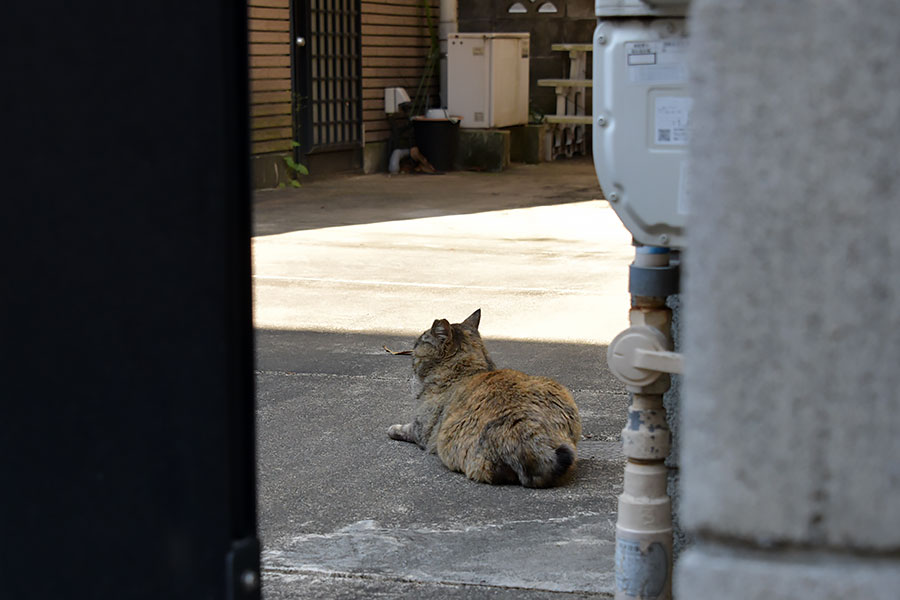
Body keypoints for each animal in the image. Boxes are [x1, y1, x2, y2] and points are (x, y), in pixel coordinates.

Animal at [386, 310, 584, 488]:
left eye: (417, 348)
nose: (411, 354)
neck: (466, 371)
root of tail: (527, 430)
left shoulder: (421, 429)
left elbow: (404, 429)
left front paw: (393, 429)